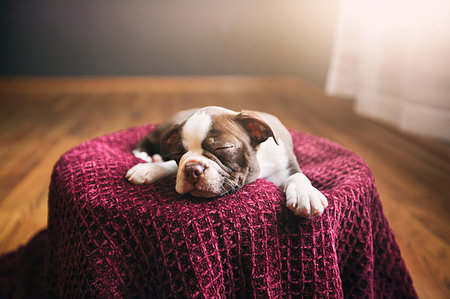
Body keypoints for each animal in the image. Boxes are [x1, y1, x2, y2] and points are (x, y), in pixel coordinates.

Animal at [126, 106, 326, 219]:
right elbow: (171, 166)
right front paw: (149, 168)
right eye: (177, 153)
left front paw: (305, 193)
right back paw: (146, 156)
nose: (191, 169)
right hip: (162, 131)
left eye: (223, 148)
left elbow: (298, 177)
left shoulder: (287, 165)